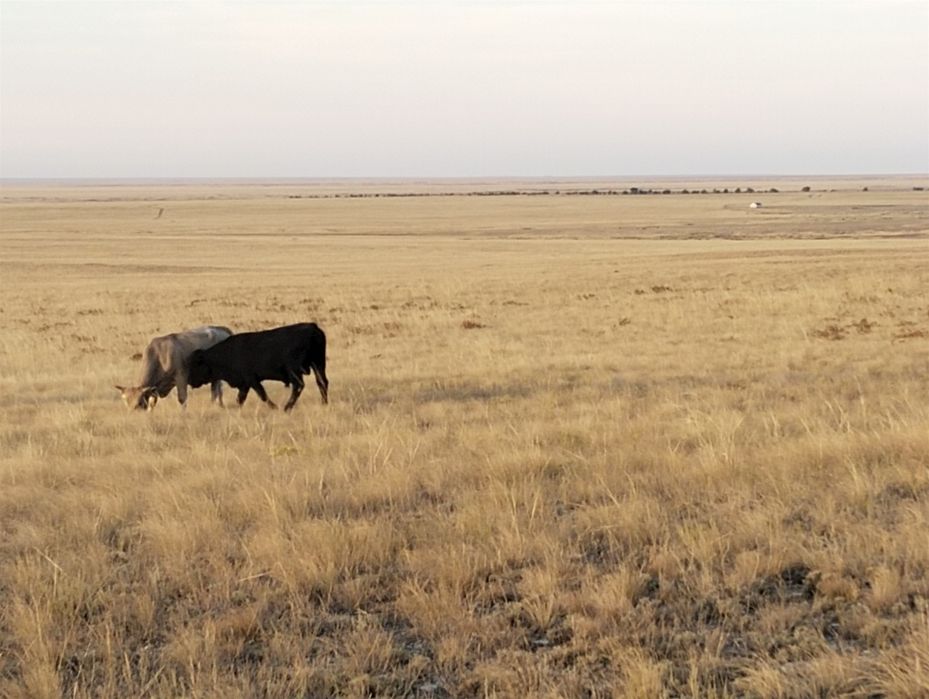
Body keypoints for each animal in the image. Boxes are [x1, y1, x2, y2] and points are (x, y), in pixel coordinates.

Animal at [186, 323, 329, 411]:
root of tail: (312, 327)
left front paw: (274, 407)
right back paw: (324, 403)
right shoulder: (245, 384)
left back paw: (287, 408)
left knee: (299, 386)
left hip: (295, 371)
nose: (190, 381)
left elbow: (262, 395)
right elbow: (240, 399)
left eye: (195, 365)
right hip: (318, 365)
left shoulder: (251, 380)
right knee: (322, 382)